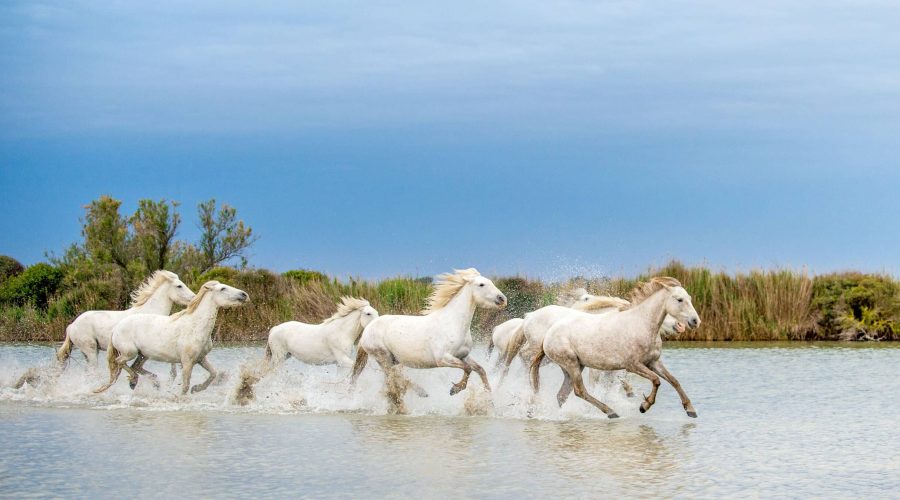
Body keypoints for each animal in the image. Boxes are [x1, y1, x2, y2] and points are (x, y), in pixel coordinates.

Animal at [56, 270, 195, 367]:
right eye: (179, 286)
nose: (194, 298)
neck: (150, 311)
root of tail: (71, 326)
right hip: (90, 349)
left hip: (87, 352)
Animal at [93, 281, 249, 395]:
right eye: (223, 288)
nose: (244, 295)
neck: (195, 326)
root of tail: (116, 328)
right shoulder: (187, 362)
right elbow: (185, 385)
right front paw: (179, 399)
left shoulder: (201, 358)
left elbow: (213, 374)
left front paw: (196, 389)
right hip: (130, 352)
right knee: (120, 362)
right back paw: (133, 381)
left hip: (143, 355)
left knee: (135, 366)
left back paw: (149, 383)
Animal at [350, 268, 507, 413]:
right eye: (481, 284)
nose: (502, 299)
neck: (453, 322)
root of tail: (368, 328)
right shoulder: (443, 359)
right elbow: (467, 368)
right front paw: (455, 389)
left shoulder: (463, 356)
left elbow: (480, 370)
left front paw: (490, 401)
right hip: (383, 357)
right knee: (394, 379)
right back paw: (420, 393)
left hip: (392, 360)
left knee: (392, 381)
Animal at [538, 277, 701, 419]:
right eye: (679, 299)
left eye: (690, 298)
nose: (695, 321)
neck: (642, 324)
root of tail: (549, 334)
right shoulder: (632, 365)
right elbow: (656, 380)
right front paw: (644, 406)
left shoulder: (653, 362)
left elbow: (674, 381)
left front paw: (691, 410)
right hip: (571, 364)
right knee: (580, 391)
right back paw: (611, 412)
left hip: (574, 367)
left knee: (562, 394)